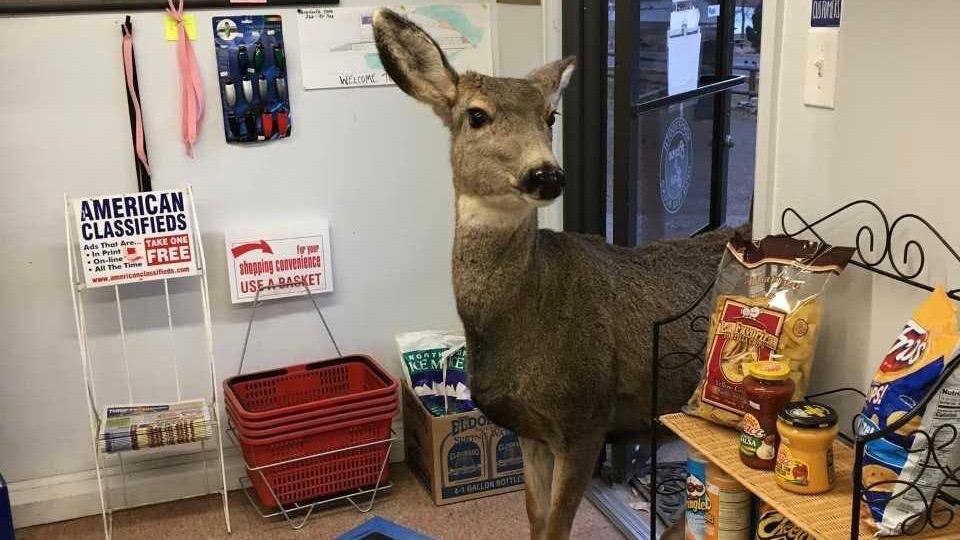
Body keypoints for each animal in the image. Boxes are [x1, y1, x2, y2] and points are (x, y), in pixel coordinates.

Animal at [373, 9, 736, 540]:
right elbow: (536, 517)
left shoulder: (587, 420)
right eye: (476, 115)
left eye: (550, 117)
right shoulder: (530, 430)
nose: (546, 174)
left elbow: (557, 525)